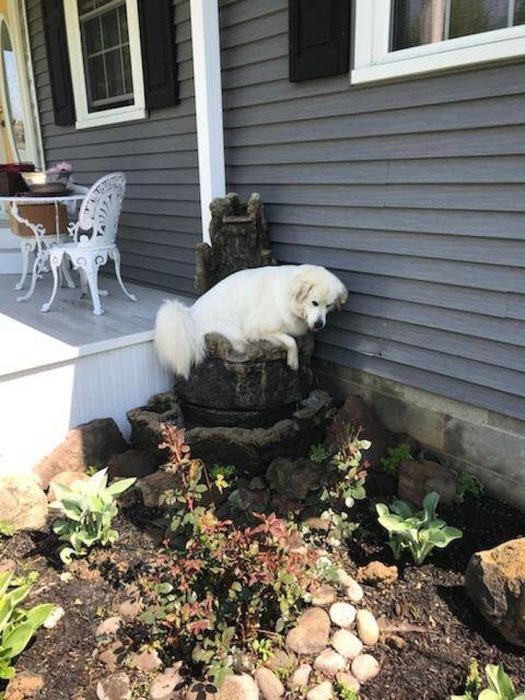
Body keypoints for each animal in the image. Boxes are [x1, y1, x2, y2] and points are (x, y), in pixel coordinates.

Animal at [154, 266, 346, 380]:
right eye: (314, 303)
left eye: (328, 305)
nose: (319, 324)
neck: (287, 296)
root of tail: (190, 313)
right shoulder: (257, 327)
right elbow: (291, 341)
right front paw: (293, 361)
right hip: (232, 329)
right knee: (239, 345)